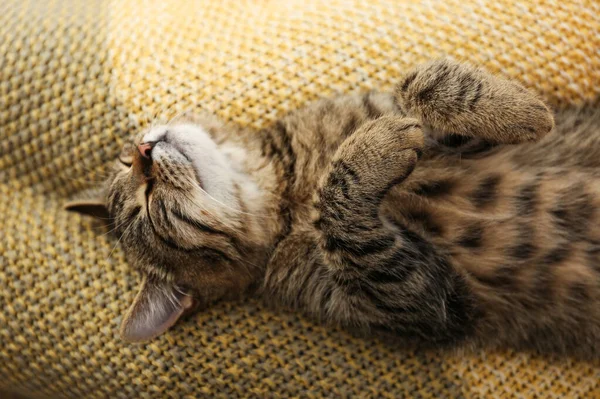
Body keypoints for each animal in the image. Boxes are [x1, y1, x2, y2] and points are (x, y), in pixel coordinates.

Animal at [67, 59, 600, 360]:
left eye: (127, 165)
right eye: (147, 209)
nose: (143, 151)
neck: (289, 188)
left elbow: (415, 83)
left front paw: (520, 109)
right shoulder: (430, 305)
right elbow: (341, 215)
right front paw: (369, 153)